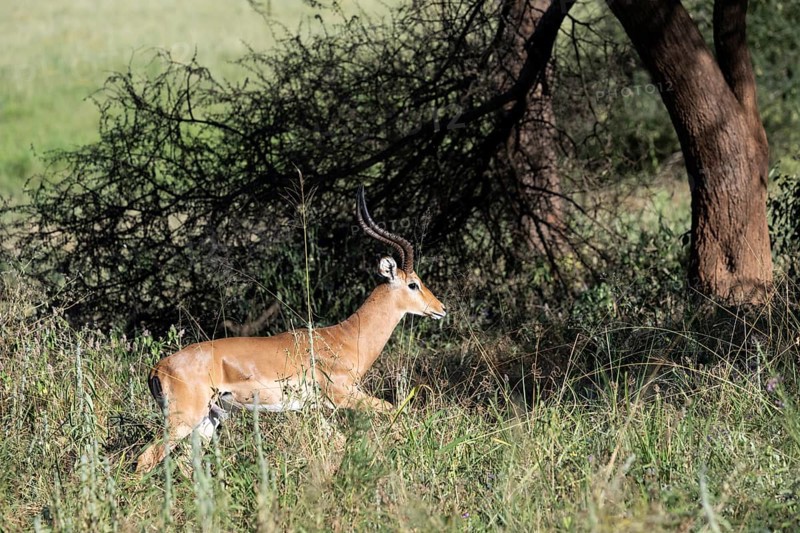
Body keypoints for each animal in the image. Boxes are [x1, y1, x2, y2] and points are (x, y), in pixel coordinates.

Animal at [135, 187, 446, 473]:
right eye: (413, 283)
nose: (441, 308)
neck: (345, 338)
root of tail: (158, 367)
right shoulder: (343, 397)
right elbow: (394, 410)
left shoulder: (312, 408)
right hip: (183, 419)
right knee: (145, 458)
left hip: (208, 420)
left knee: (186, 463)